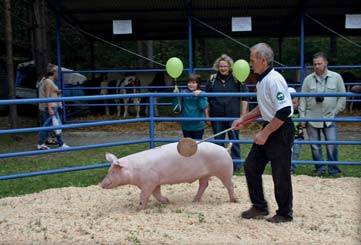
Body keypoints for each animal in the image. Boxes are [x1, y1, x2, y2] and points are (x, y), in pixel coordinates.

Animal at [100, 142, 238, 211]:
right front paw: (167, 201)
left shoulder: (149, 182)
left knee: (229, 185)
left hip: (225, 171)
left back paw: (234, 200)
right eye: (109, 170)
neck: (133, 170)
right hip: (205, 174)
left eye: (113, 172)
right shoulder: (155, 182)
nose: (101, 184)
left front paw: (138, 208)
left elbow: (144, 195)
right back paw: (194, 200)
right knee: (204, 185)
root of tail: (225, 149)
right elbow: (156, 194)